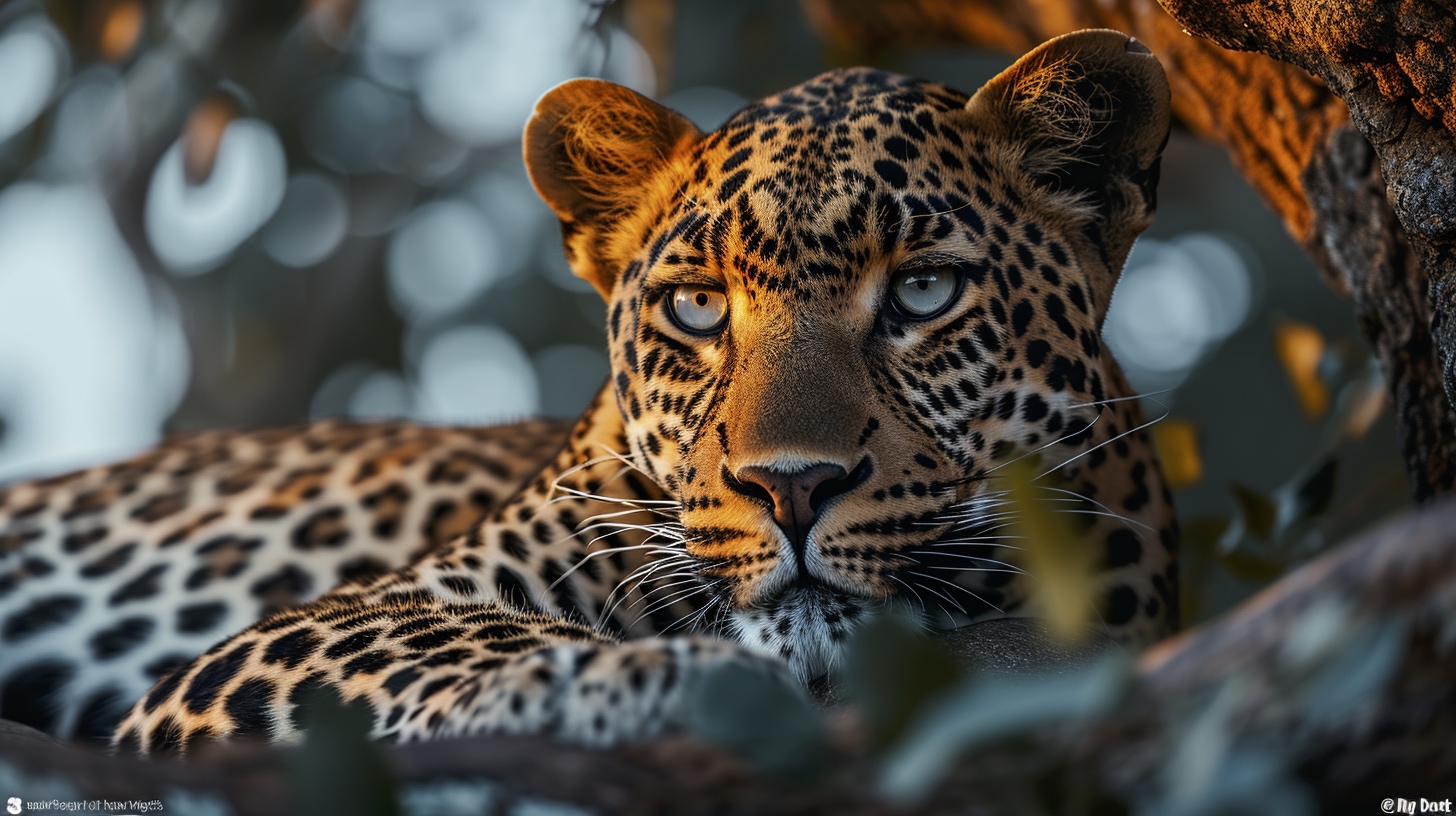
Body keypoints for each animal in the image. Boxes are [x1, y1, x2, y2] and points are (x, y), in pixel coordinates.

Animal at [0, 29, 1178, 756]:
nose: (792, 489)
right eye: (698, 308)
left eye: (924, 290)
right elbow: (449, 638)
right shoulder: (314, 626)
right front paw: (617, 681)